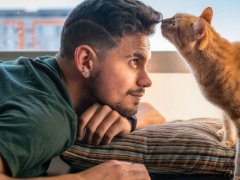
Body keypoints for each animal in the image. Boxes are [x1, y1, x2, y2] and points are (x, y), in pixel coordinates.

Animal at [160, 6, 240, 179]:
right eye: (171, 18)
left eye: (174, 23)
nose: (162, 20)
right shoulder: (226, 110)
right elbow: (228, 125)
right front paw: (228, 140)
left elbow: (239, 156)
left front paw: (237, 174)